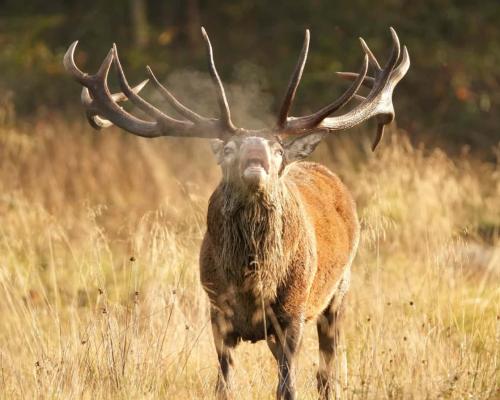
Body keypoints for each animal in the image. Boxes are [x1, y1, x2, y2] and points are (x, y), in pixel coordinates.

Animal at [63, 26, 410, 398]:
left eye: (277, 149)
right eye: (229, 149)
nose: (255, 165)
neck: (252, 283)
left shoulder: (293, 312)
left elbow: (287, 387)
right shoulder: (217, 311)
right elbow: (223, 385)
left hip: (339, 289)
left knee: (327, 369)